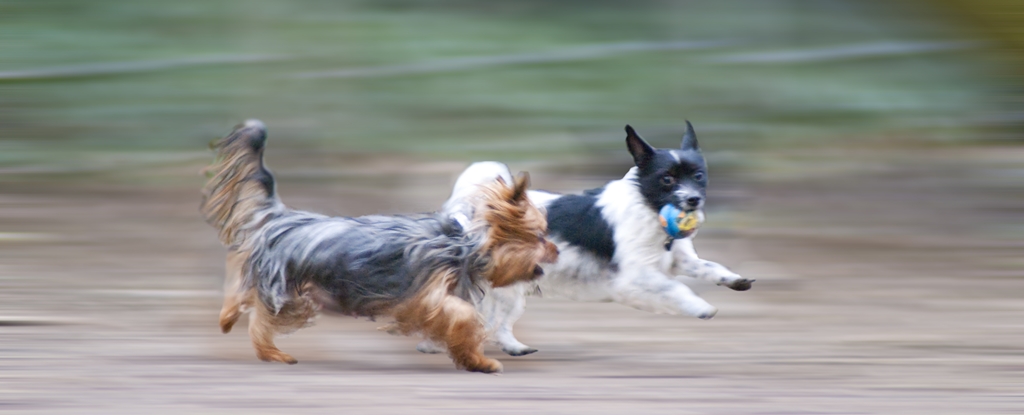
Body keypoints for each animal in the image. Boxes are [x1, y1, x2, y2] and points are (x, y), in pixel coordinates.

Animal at [423, 121, 753, 354]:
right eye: (667, 179)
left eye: (698, 176)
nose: (693, 200)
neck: (648, 208)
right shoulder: (634, 278)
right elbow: (676, 289)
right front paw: (701, 308)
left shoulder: (679, 260)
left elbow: (709, 267)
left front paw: (734, 280)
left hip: (511, 291)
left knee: (496, 323)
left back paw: (514, 348)